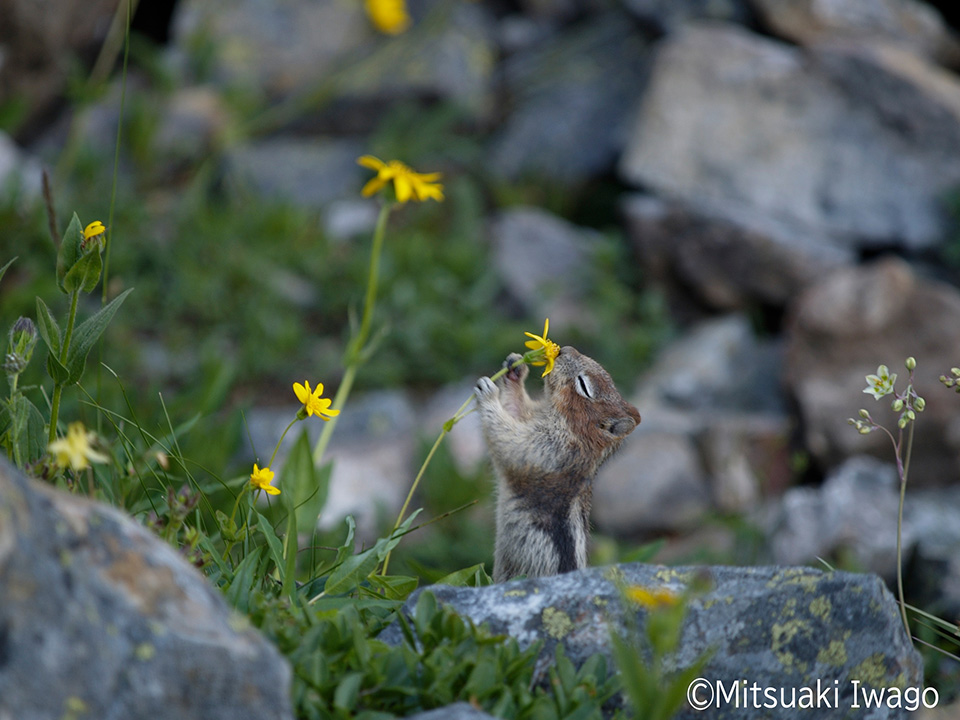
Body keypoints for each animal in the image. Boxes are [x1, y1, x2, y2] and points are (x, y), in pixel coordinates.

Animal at [474, 346, 640, 584]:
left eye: (583, 385)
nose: (564, 349)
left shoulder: (547, 448)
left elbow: (507, 437)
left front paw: (489, 394)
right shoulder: (533, 420)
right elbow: (515, 409)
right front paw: (515, 369)